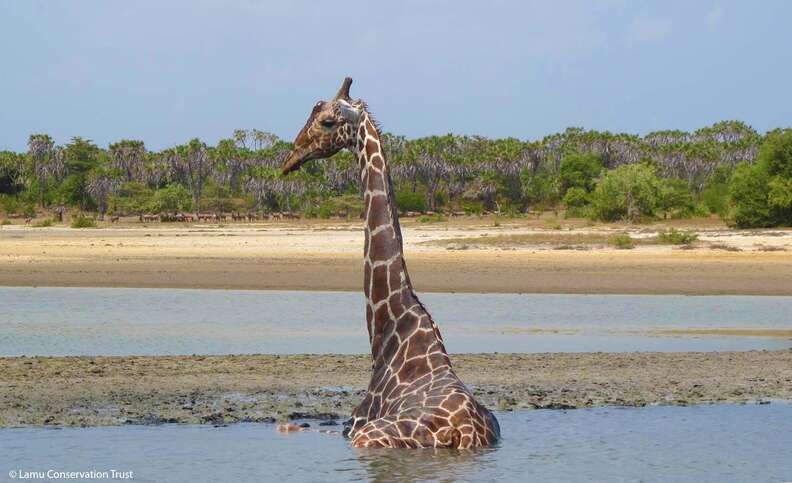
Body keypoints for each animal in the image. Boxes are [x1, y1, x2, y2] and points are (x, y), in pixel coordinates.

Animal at [282, 76, 498, 450]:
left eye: (327, 121)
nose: (291, 158)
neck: (390, 333)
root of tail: (465, 433)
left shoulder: (353, 426)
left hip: (368, 437)